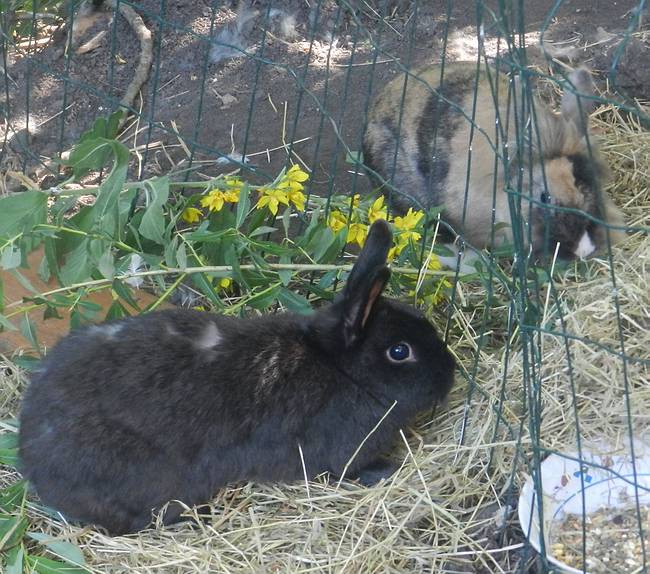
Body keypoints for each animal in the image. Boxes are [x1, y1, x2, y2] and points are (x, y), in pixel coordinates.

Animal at [19, 220, 456, 535]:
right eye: (400, 351)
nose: (450, 376)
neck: (341, 368)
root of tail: (34, 464)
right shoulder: (341, 451)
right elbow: (349, 470)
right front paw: (387, 469)